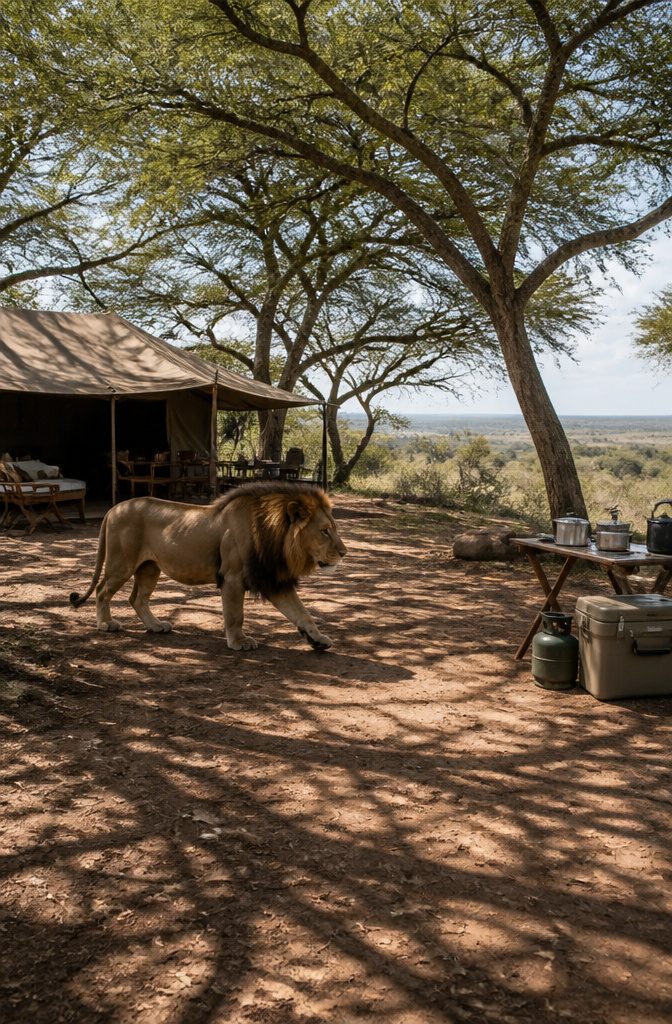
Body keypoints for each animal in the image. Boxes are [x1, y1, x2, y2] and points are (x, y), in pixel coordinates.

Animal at [69, 481, 346, 650]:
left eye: (334, 528)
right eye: (324, 531)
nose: (344, 552)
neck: (275, 536)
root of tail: (113, 508)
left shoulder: (274, 579)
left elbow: (302, 613)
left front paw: (318, 640)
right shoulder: (233, 578)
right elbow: (235, 615)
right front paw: (239, 641)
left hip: (149, 567)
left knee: (137, 599)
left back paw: (155, 626)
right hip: (122, 564)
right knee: (102, 591)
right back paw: (106, 624)